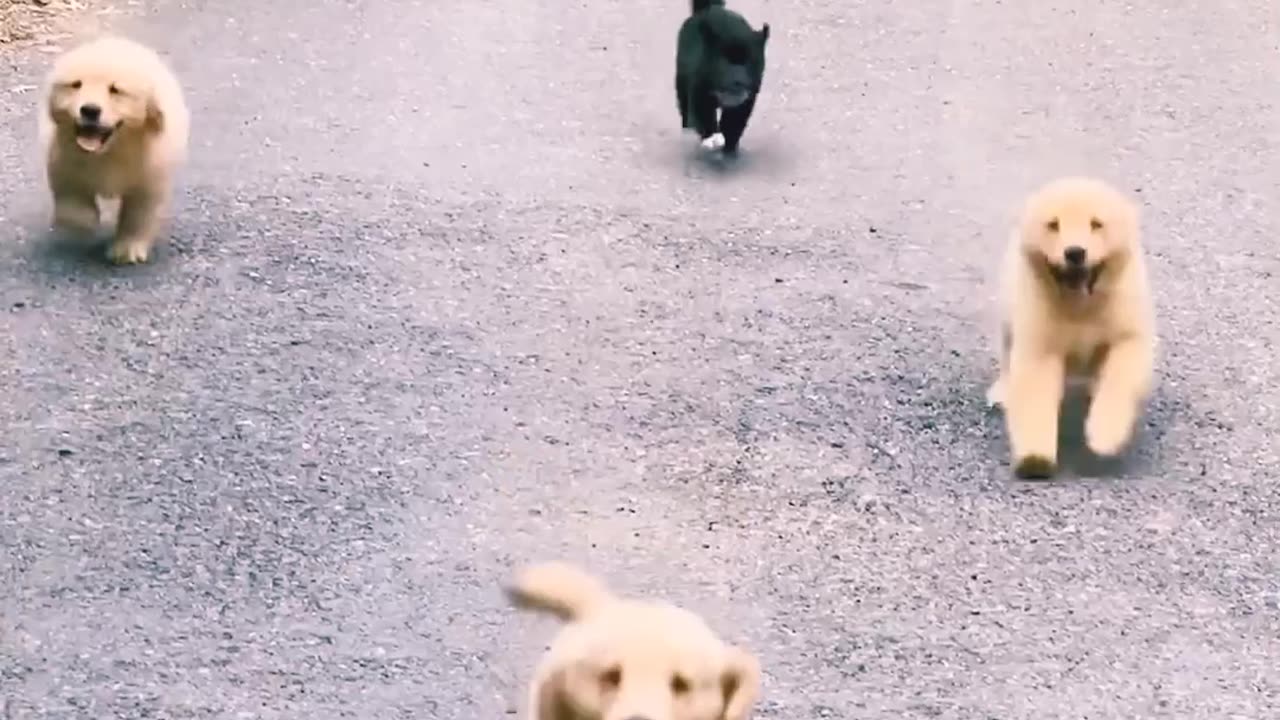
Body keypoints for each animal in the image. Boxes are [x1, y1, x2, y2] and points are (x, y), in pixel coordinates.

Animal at [38, 35, 188, 263]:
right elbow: (71, 201)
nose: (90, 109)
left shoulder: (149, 178)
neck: (109, 153)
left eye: (116, 90)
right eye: (76, 85)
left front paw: (127, 248)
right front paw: (83, 223)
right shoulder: (63, 163)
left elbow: (138, 214)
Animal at [675, 0, 762, 156]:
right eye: (725, 61)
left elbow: (734, 123)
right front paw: (711, 138)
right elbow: (702, 114)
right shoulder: (699, 89)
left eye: (748, 61)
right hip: (681, 78)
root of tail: (708, 9)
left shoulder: (746, 101)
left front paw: (729, 148)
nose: (738, 81)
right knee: (684, 103)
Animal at [983, 174, 1157, 476]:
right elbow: (1035, 379)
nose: (1075, 252)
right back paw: (1002, 392)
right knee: (1007, 347)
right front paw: (1035, 458)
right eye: (1053, 224)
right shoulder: (1039, 317)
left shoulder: (1123, 314)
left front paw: (1104, 436)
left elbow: (1123, 367)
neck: (1080, 307)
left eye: (1096, 223)